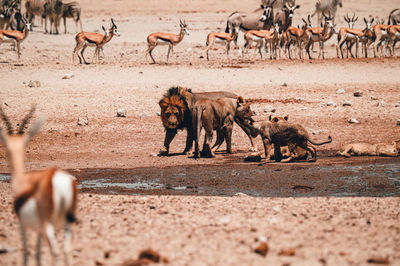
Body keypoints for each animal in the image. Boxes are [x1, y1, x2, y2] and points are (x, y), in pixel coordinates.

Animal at [0, 106, 78, 266]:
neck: (23, 181)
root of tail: (58, 178)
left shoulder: (22, 224)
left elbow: (26, 254)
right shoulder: (38, 230)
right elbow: (37, 254)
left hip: (47, 224)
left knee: (55, 251)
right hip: (66, 224)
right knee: (66, 250)